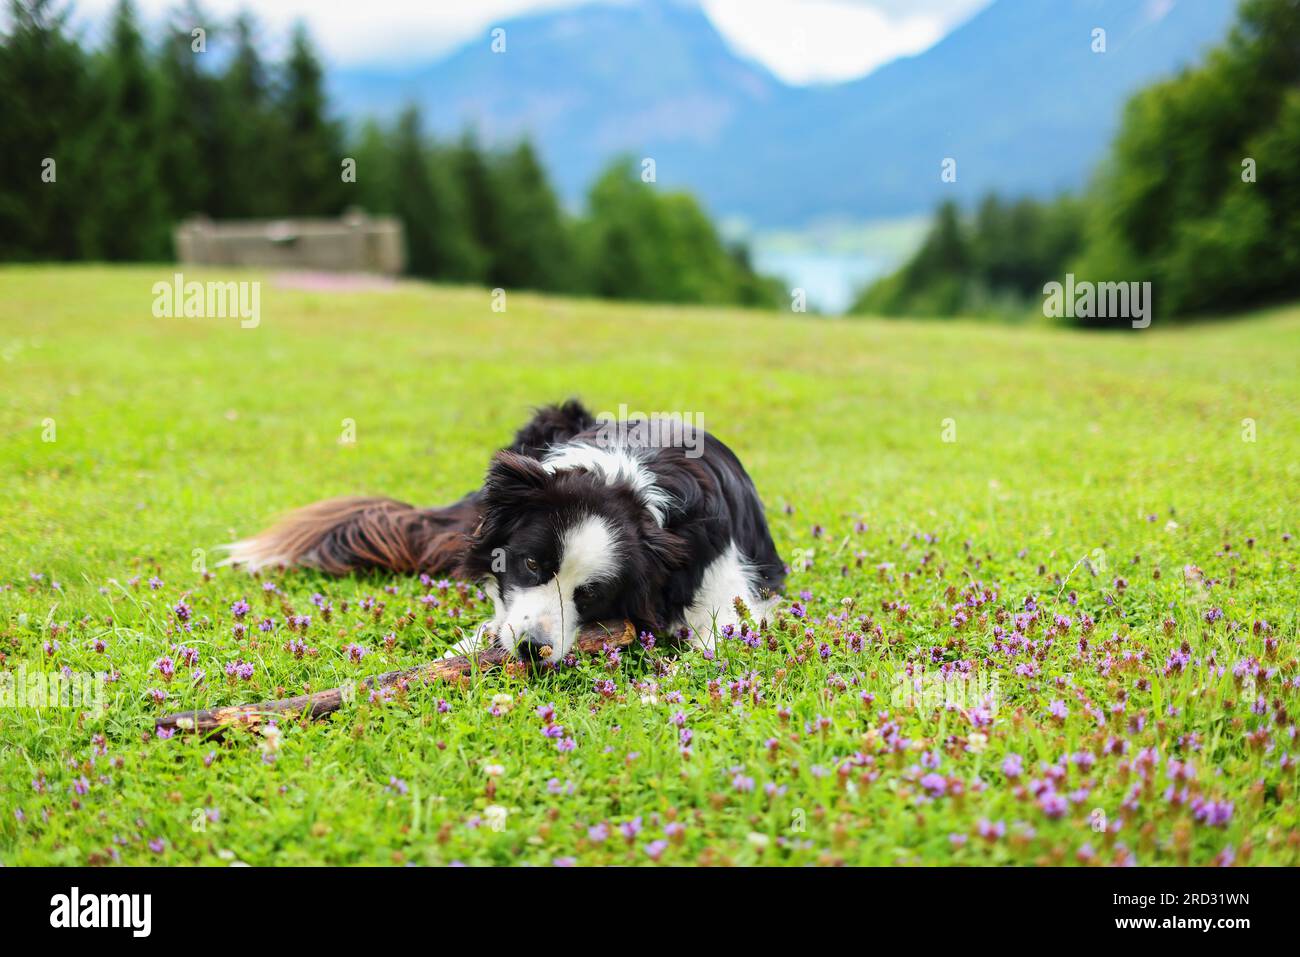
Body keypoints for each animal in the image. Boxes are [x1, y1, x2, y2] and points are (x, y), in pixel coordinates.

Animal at [223, 403, 780, 657]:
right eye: (532, 563)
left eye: (592, 595)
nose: (532, 649)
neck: (622, 475)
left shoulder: (729, 589)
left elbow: (722, 637)